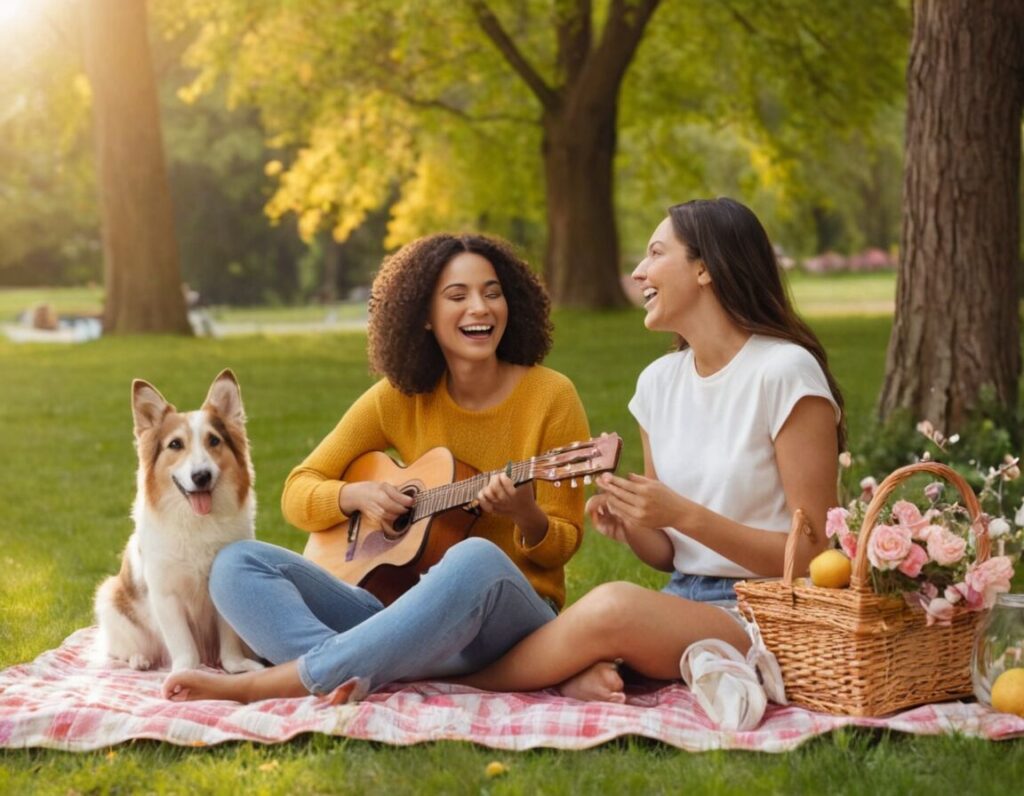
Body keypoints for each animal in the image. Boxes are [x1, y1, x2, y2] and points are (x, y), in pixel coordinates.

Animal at [93, 368, 264, 672]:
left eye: (214, 441)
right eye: (175, 444)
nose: (201, 476)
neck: (196, 521)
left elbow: (229, 645)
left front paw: (237, 667)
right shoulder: (166, 594)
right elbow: (184, 646)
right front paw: (185, 672)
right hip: (110, 597)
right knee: (120, 651)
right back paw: (139, 659)